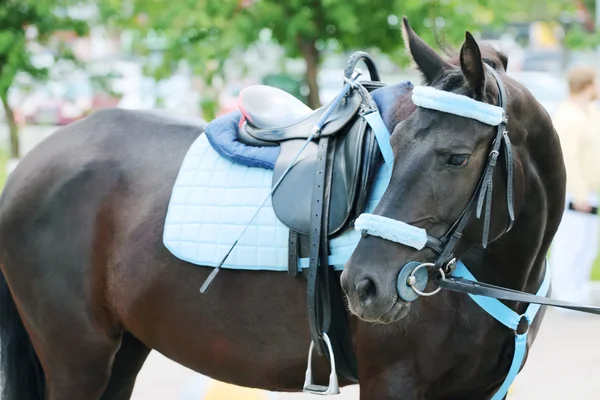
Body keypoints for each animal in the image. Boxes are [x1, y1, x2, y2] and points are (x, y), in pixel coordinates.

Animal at [0, 16, 564, 400]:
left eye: (455, 157)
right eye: (396, 144)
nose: (365, 284)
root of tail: (28, 165)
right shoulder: (394, 382)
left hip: (122, 352)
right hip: (78, 359)